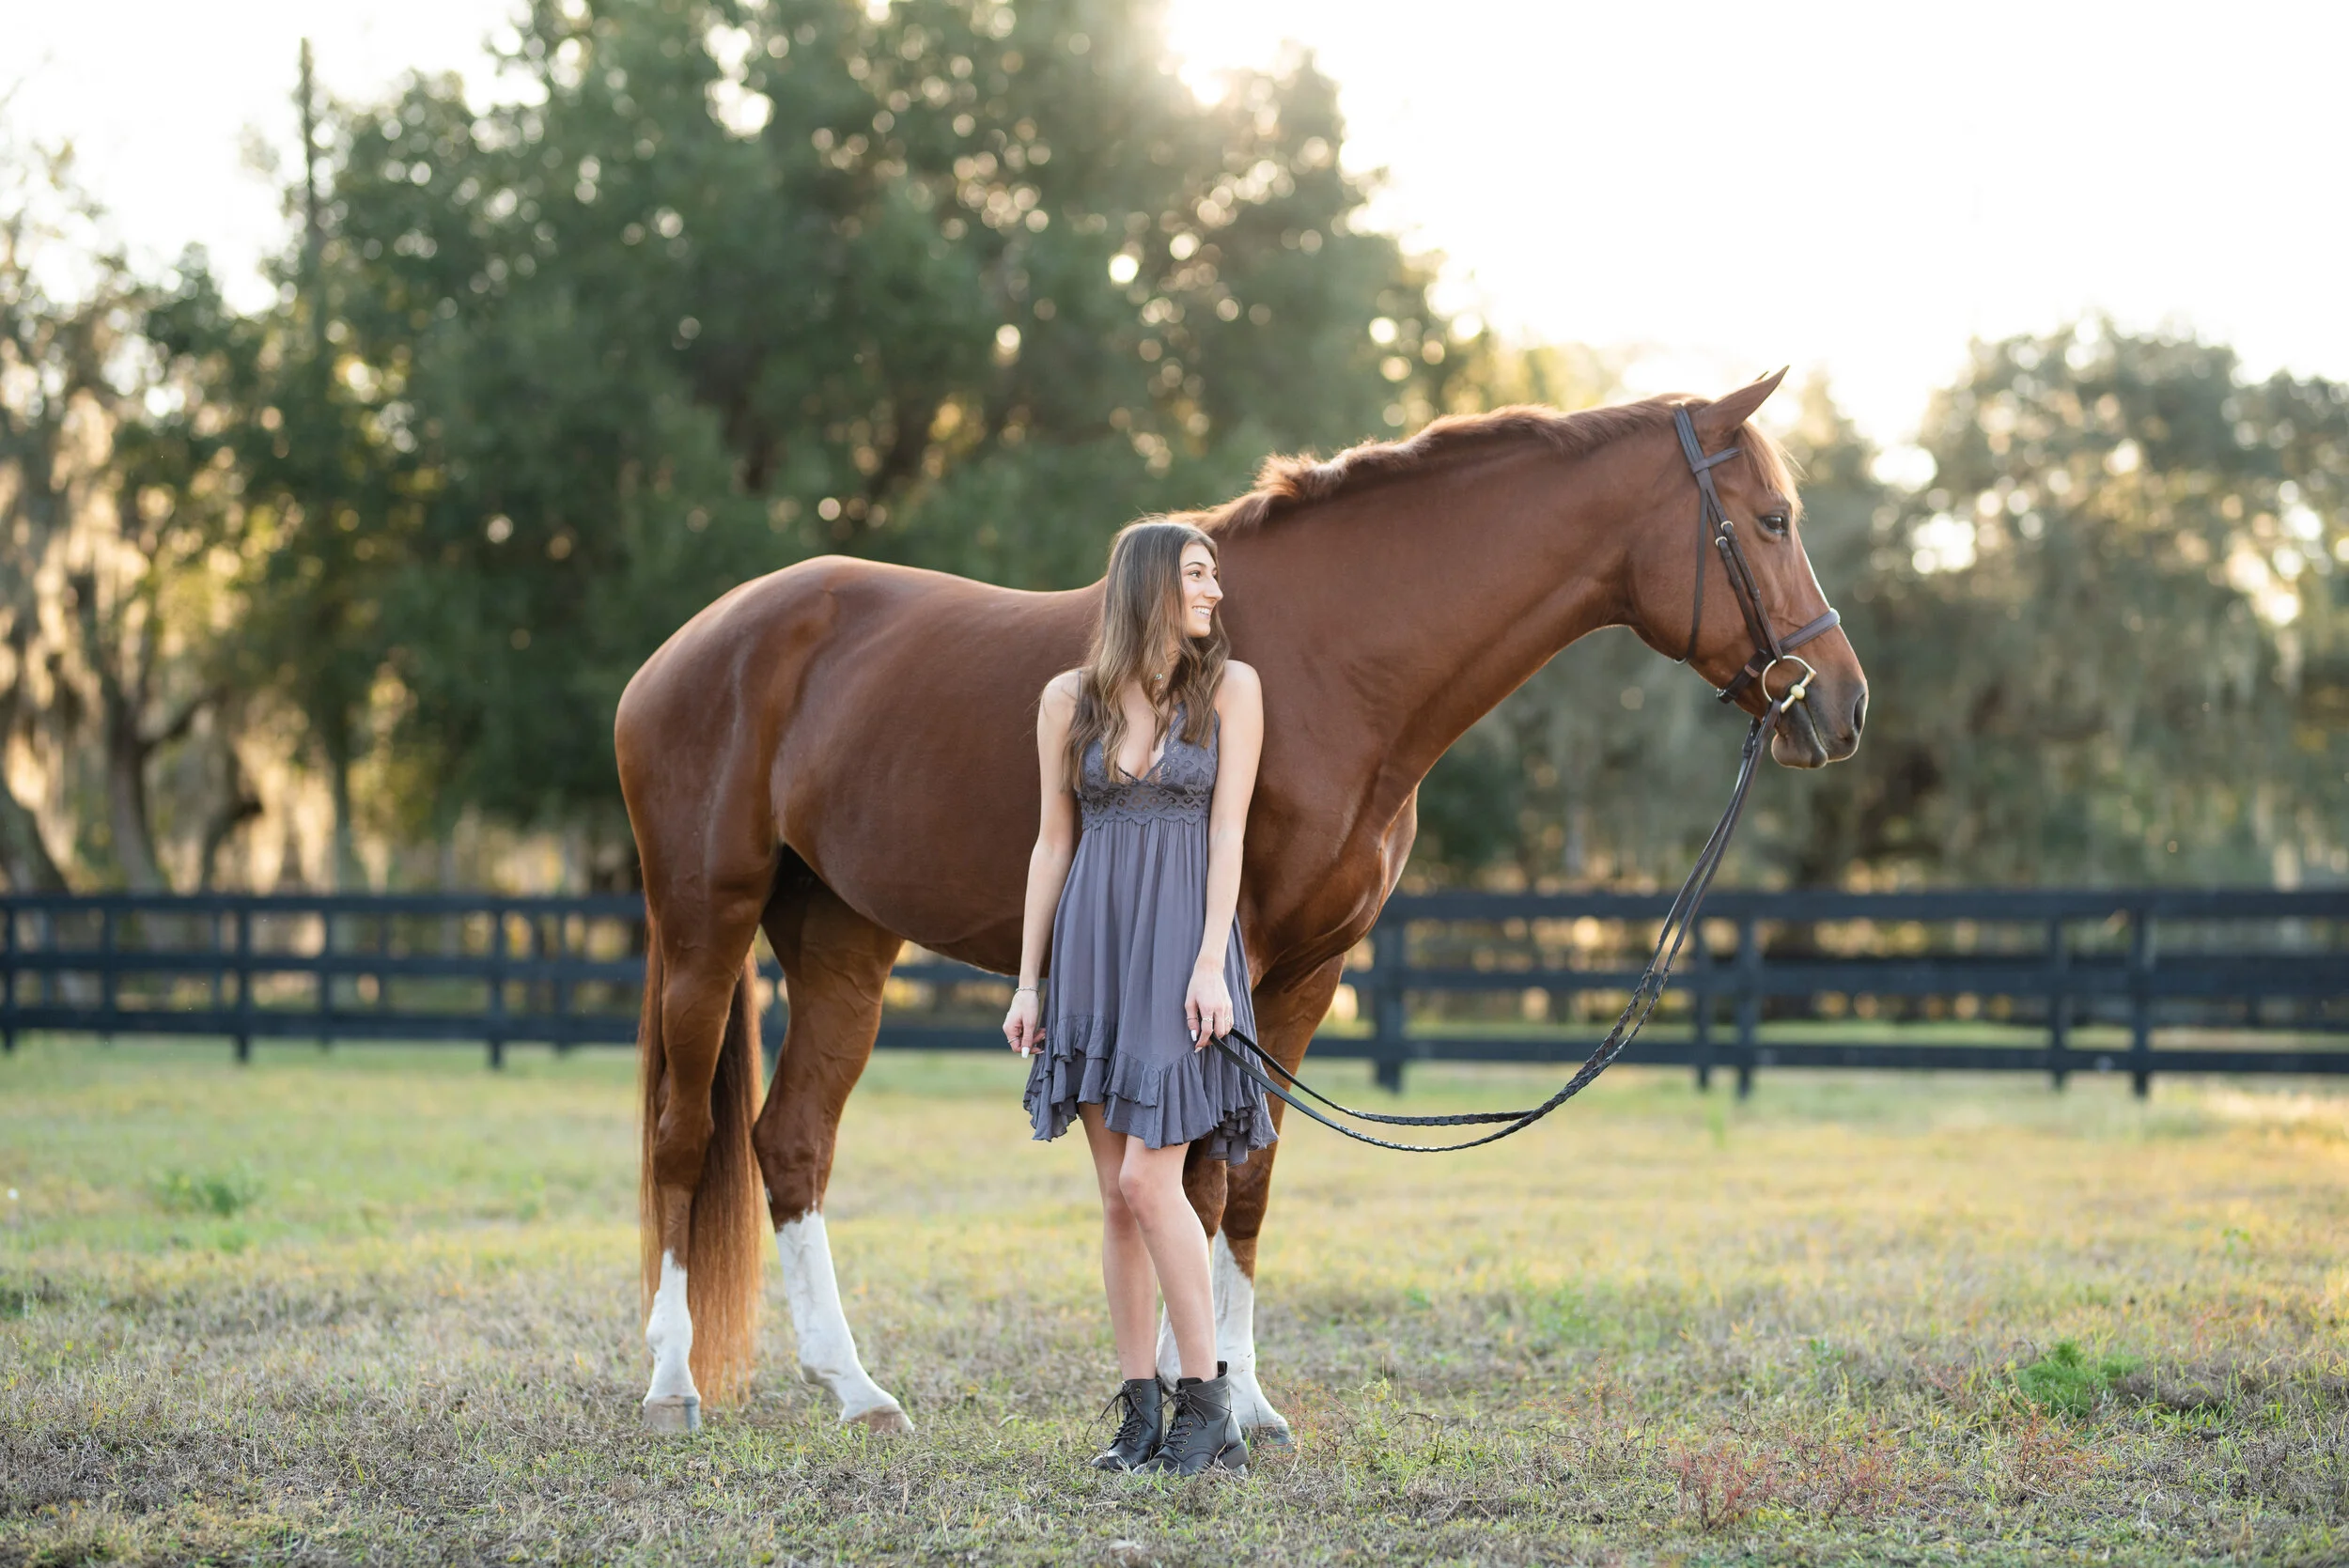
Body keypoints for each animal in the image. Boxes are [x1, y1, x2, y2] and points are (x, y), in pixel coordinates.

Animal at [613, 370, 1867, 1436]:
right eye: (1770, 521)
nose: (1841, 707)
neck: (1332, 658)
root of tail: (692, 644)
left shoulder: (1311, 971)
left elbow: (1247, 1181)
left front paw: (1244, 1398)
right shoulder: (1229, 964)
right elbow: (1199, 1176)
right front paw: (1191, 1392)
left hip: (842, 939)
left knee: (791, 1142)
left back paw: (856, 1389)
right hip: (705, 923)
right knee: (684, 1137)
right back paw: (673, 1386)